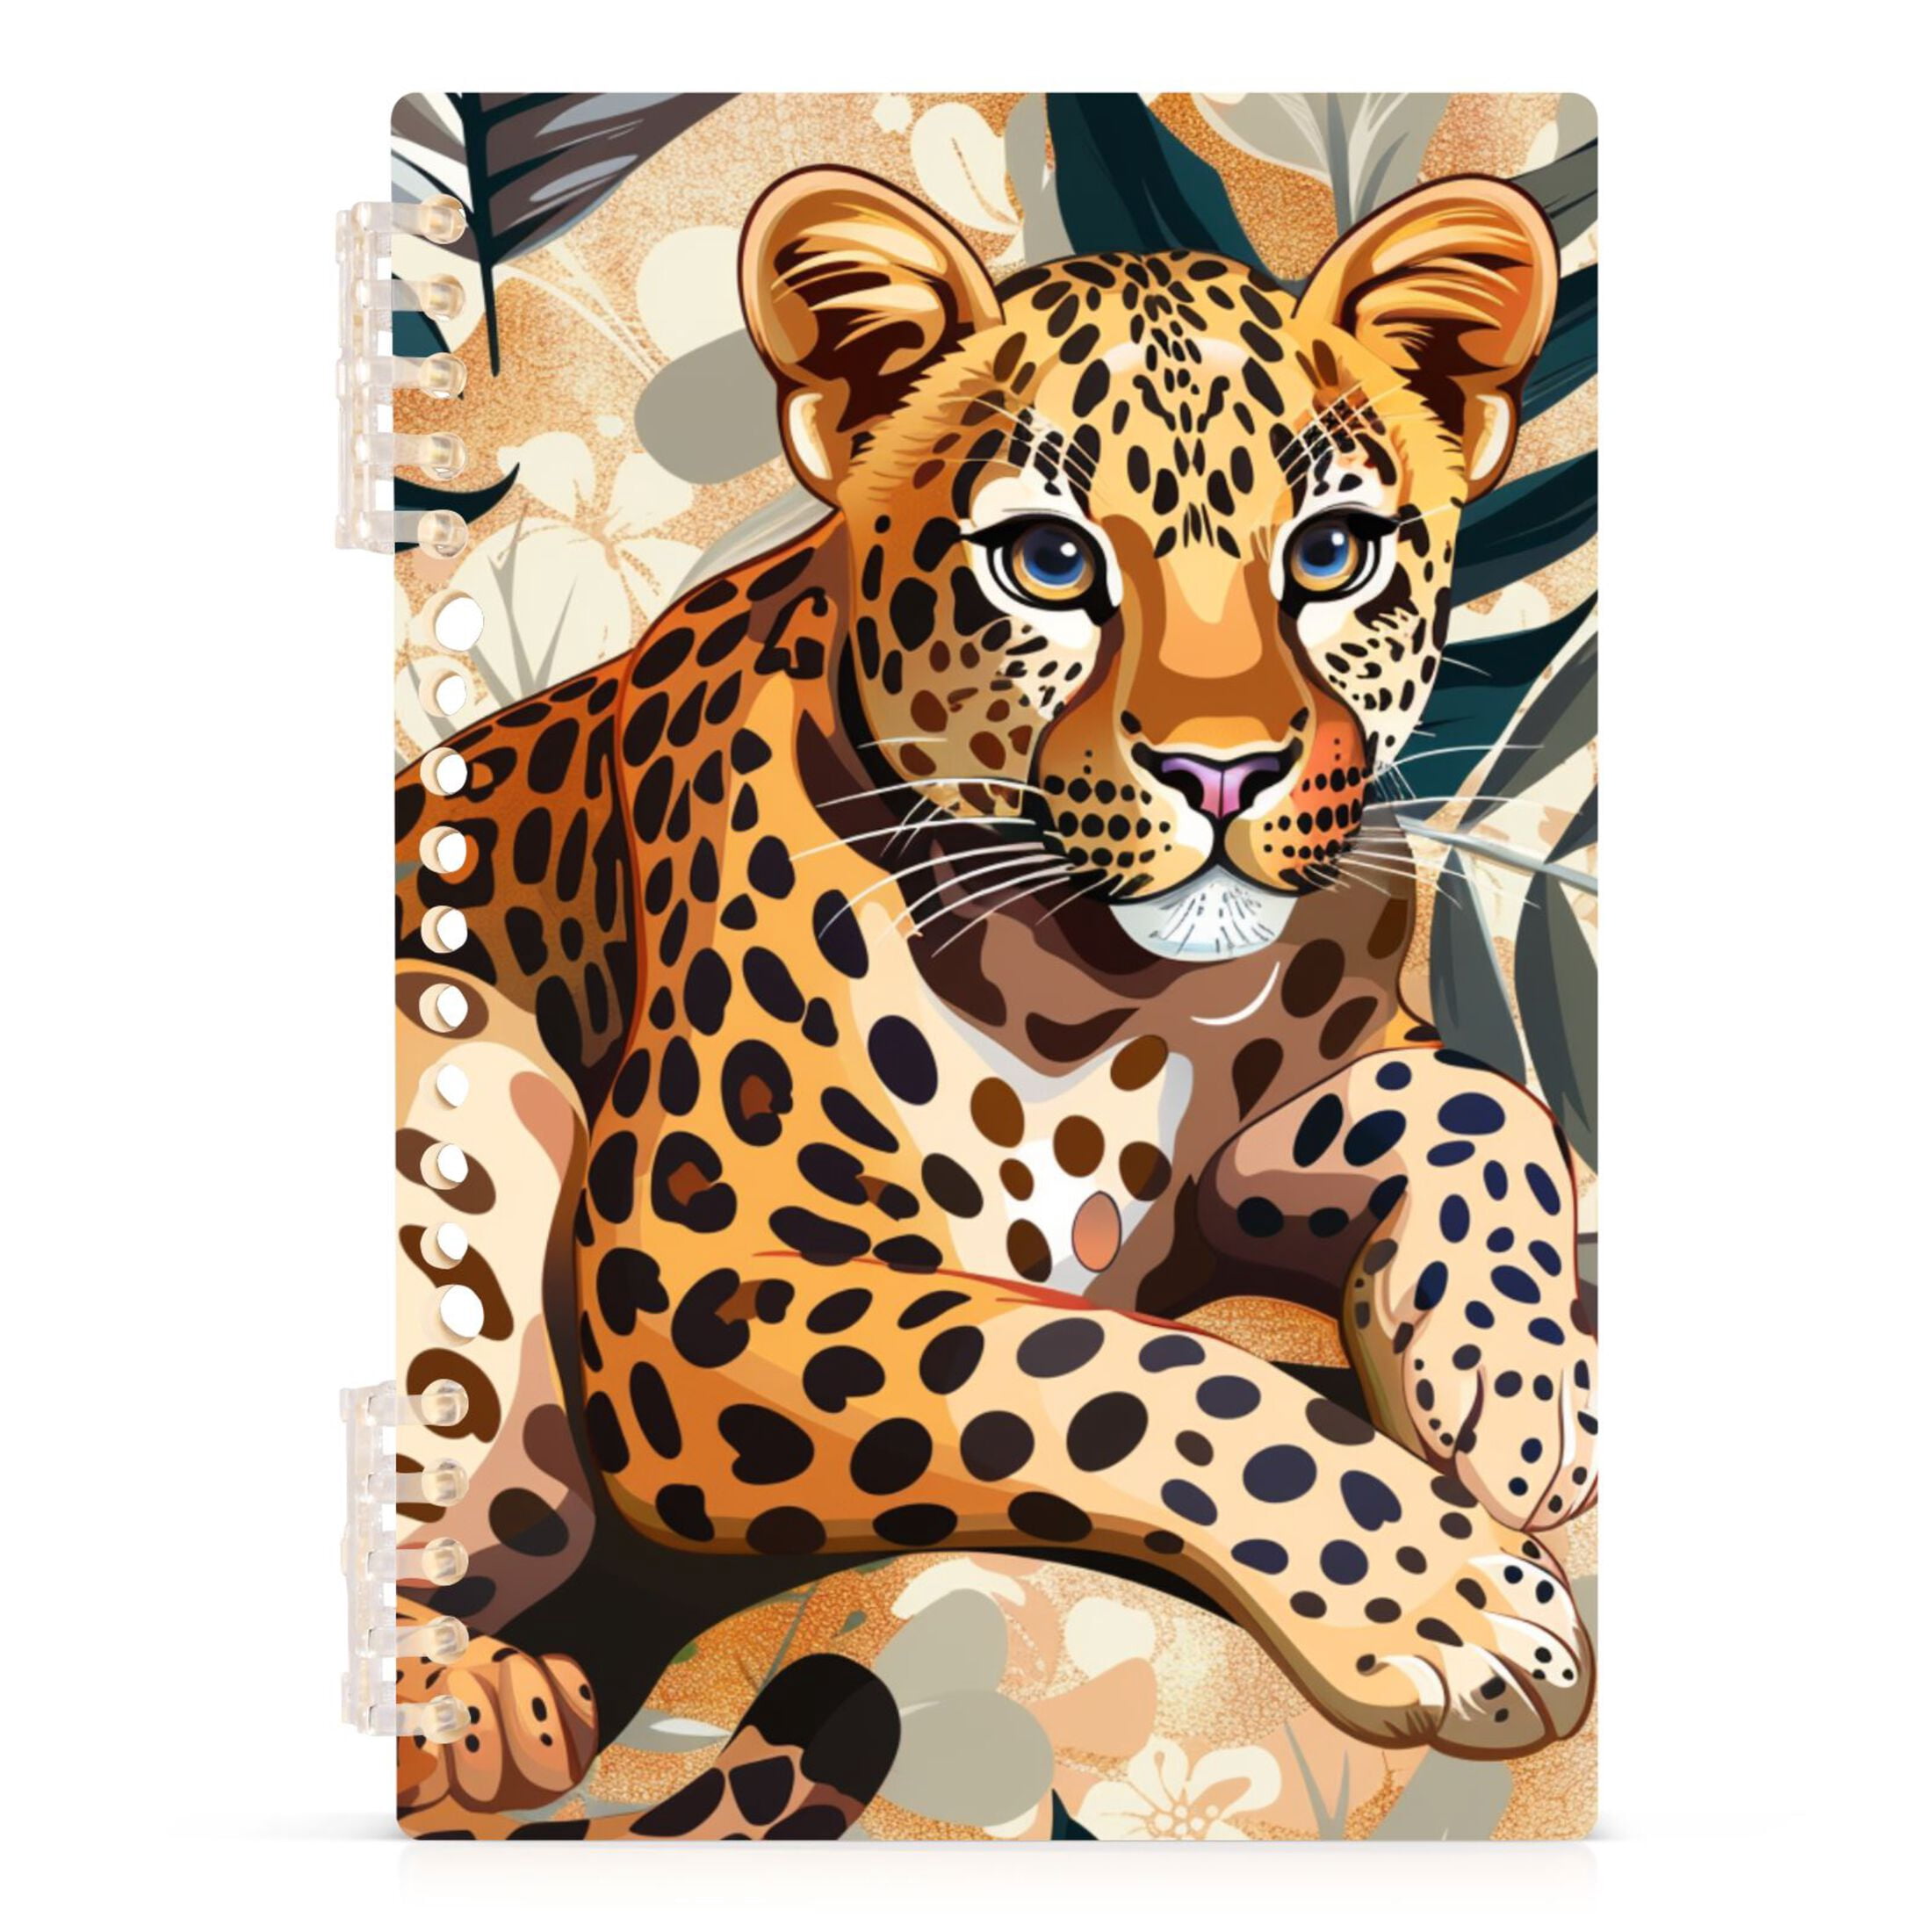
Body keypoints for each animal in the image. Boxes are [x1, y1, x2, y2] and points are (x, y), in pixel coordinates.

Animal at [391, 164, 1595, 1839]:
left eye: (1334, 554)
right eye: (1049, 564)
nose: (1224, 772)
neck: (1118, 995)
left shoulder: (1259, 1127)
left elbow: (1483, 1098)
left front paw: (1518, 1394)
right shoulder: (692, 1279)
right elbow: (1126, 1379)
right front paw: (1459, 1607)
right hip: (473, 1051)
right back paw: (483, 1707)